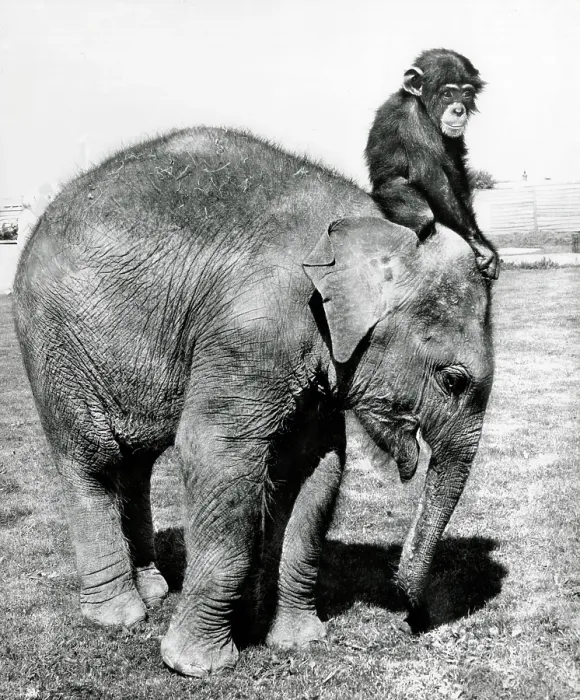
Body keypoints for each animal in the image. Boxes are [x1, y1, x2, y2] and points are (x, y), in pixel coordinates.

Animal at [13, 126, 494, 677]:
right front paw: (198, 666)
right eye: (453, 380)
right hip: (56, 347)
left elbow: (316, 469)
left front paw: (299, 642)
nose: (412, 619)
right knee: (92, 461)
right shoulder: (253, 329)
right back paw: (119, 616)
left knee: (134, 464)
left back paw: (153, 591)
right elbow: (218, 455)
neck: (373, 222)